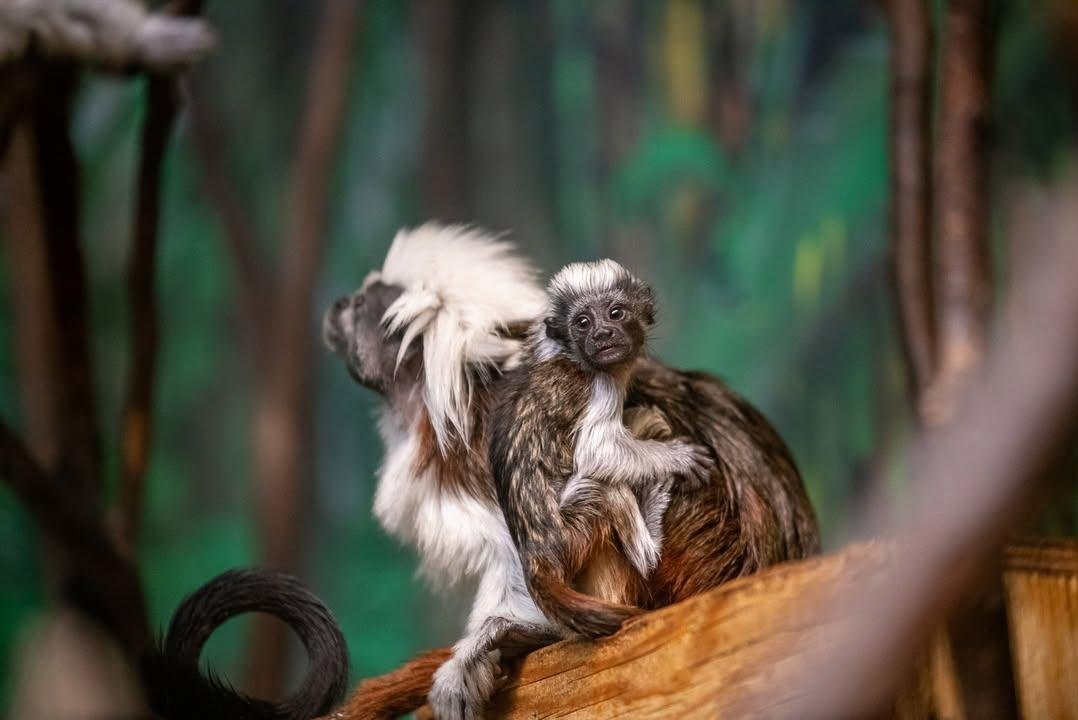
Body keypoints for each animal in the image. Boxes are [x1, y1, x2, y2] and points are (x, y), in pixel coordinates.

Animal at [489, 260, 714, 638]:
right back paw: (650, 549)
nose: (602, 335)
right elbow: (597, 452)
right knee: (605, 488)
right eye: (583, 323)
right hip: (571, 537)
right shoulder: (598, 386)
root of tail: (537, 558)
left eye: (615, 313)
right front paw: (677, 458)